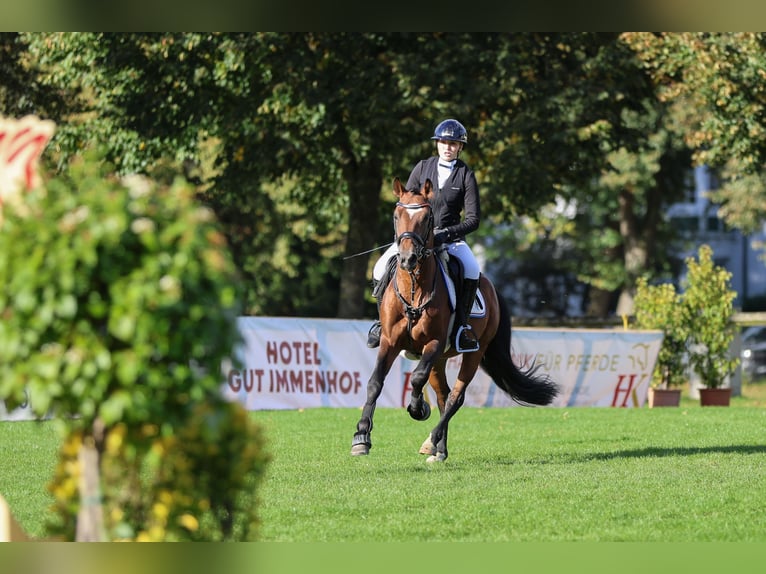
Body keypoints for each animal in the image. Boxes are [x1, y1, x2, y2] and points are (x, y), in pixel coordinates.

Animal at [352, 179, 560, 464]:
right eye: (397, 215)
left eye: (427, 218)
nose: (407, 259)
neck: (414, 288)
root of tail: (492, 289)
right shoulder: (390, 341)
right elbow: (375, 383)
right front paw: (362, 437)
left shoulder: (434, 342)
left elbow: (416, 379)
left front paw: (418, 409)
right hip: (439, 360)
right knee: (443, 396)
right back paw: (439, 450)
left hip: (473, 352)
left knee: (455, 397)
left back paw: (431, 441)